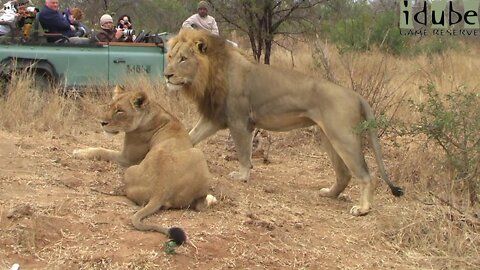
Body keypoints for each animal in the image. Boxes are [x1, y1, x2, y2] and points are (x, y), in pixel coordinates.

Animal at [72, 86, 217, 245]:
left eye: (120, 111)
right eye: (109, 106)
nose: (102, 122)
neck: (153, 112)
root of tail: (160, 190)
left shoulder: (127, 159)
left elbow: (101, 150)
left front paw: (78, 152)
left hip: (191, 155)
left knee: (200, 205)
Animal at [163, 28, 404, 216]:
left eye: (183, 59)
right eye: (170, 57)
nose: (167, 75)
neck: (210, 73)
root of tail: (356, 95)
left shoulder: (239, 121)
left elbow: (244, 153)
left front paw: (242, 177)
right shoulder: (216, 117)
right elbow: (190, 137)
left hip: (343, 136)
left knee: (366, 174)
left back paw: (362, 208)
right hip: (327, 135)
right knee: (344, 174)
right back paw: (330, 194)